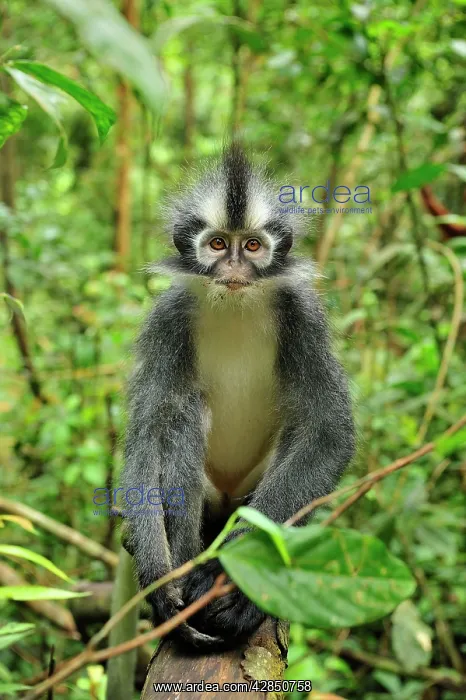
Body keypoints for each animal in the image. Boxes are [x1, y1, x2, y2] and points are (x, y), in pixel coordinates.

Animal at [121, 144, 355, 650]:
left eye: (251, 246)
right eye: (216, 245)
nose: (233, 269)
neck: (234, 305)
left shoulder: (303, 316)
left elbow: (328, 433)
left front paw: (228, 581)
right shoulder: (168, 318)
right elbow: (148, 436)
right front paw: (158, 580)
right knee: (184, 413)